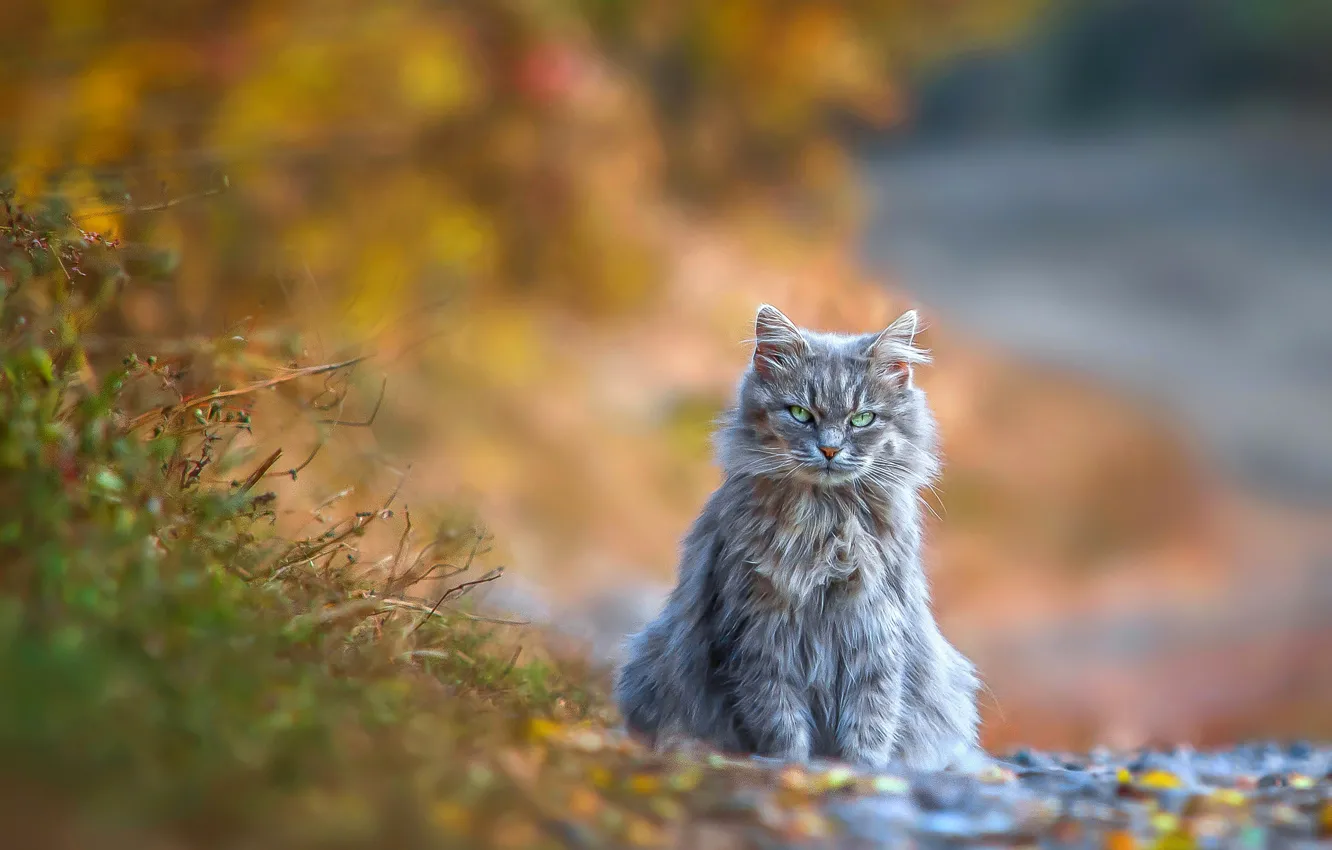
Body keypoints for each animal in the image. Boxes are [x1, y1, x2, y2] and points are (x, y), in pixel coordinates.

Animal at [612, 305, 980, 772]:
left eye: (862, 419)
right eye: (800, 413)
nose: (830, 450)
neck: (827, 522)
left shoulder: (876, 623)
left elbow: (872, 714)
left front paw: (863, 767)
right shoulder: (758, 628)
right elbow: (779, 718)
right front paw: (792, 765)